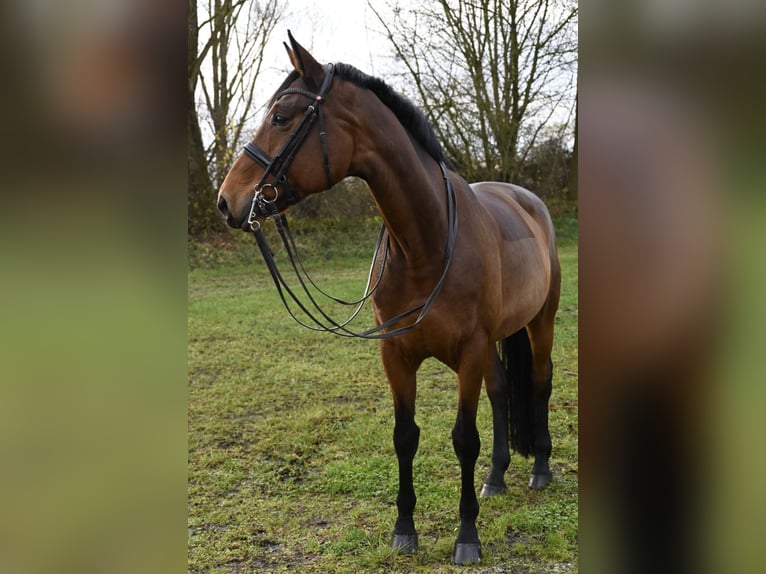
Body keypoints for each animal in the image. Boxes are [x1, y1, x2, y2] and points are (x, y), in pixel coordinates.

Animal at [219, 32, 560, 568]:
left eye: (282, 118)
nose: (227, 201)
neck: (426, 241)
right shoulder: (395, 355)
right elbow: (405, 438)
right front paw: (404, 530)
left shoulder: (468, 353)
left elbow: (464, 439)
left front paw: (467, 536)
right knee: (503, 392)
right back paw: (496, 478)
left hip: (539, 323)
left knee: (540, 384)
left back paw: (539, 469)